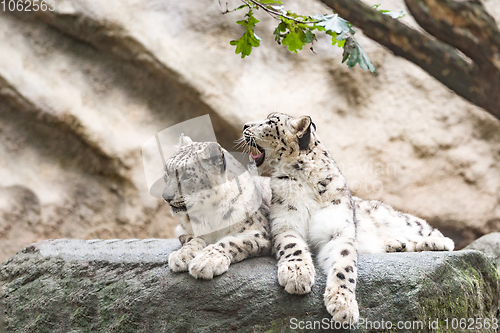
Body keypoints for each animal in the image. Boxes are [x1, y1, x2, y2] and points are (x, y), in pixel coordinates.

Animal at [163, 134, 272, 278]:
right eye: (167, 173)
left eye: (187, 175)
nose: (166, 196)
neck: (208, 214)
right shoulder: (183, 231)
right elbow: (192, 238)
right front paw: (182, 255)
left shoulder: (259, 232)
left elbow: (230, 242)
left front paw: (206, 262)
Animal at [240, 113, 456, 322]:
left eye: (269, 121)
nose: (244, 126)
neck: (302, 178)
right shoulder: (285, 224)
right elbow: (293, 247)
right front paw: (297, 275)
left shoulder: (339, 230)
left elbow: (344, 265)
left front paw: (343, 305)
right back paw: (395, 244)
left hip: (401, 220)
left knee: (435, 233)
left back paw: (433, 242)